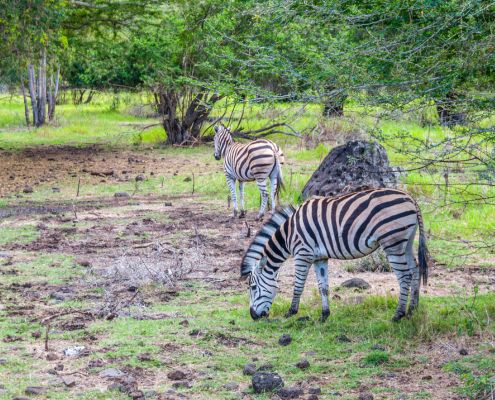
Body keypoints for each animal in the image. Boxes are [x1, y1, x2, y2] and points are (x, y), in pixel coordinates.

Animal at [240, 188, 430, 322]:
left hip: (392, 243)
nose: (253, 317)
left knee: (404, 276)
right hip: (406, 242)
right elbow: (323, 287)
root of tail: (410, 199)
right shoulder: (319, 258)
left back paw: (398, 315)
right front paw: (324, 315)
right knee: (415, 269)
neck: (288, 235)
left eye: (253, 287)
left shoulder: (302, 254)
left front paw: (291, 312)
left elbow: (298, 286)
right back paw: (412, 310)